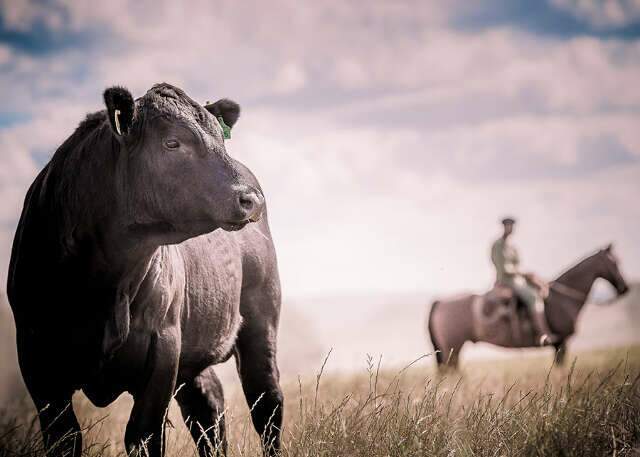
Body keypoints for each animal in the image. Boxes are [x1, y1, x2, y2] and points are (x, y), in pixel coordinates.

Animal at [7, 83, 282, 454]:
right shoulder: (37, 357)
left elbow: (143, 433)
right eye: (172, 143)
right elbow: (65, 437)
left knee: (267, 406)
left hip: (260, 323)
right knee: (208, 407)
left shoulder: (162, 347)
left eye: (220, 140)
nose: (251, 199)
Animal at [428, 244, 628, 368]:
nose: (624, 288)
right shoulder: (561, 343)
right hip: (453, 349)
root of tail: (440, 302)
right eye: (615, 262)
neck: (563, 299)